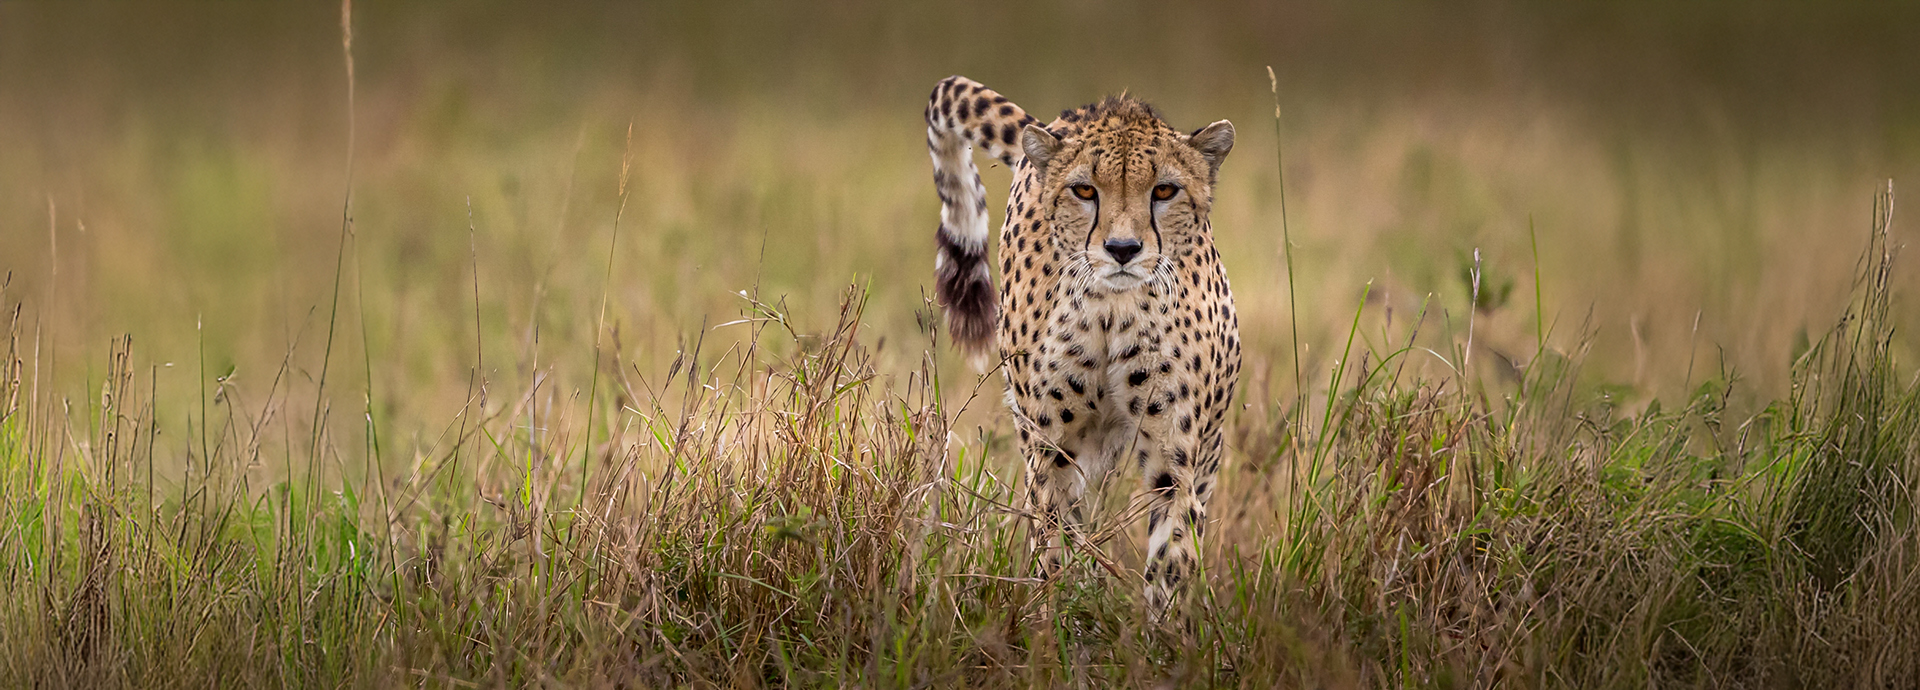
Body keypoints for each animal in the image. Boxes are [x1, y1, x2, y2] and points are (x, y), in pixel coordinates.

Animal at [924, 75, 1241, 617]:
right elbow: (1055, 539)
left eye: (1164, 190)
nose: (1122, 249)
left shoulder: (1173, 455)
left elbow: (1171, 552)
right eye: (1085, 190)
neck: (1113, 309)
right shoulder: (1053, 447)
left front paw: (1161, 631)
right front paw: (1057, 618)